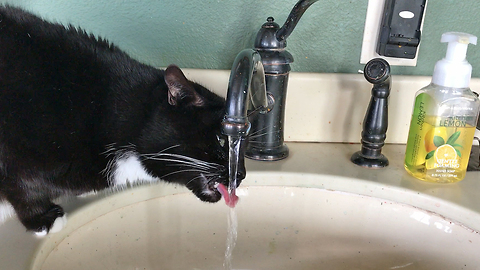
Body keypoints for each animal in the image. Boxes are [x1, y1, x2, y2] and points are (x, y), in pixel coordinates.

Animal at [0, 5, 244, 235]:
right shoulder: (17, 152)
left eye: (246, 147)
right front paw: (44, 219)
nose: (241, 174)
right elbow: (23, 188)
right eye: (221, 139)